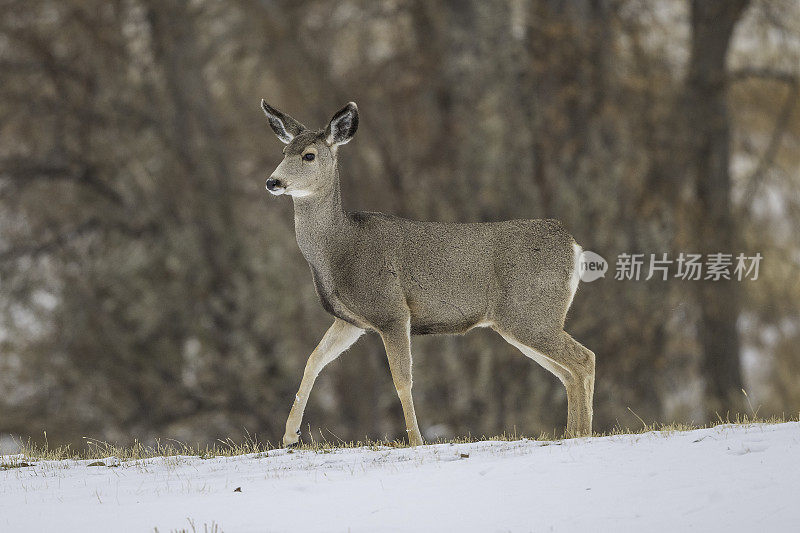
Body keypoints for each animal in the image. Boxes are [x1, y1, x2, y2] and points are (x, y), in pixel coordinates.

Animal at [262, 98, 592, 444]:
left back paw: (582, 433)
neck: (339, 248)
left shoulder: (391, 310)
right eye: (283, 151)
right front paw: (290, 435)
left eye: (309, 155)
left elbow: (402, 379)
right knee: (568, 371)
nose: (273, 182)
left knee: (583, 360)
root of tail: (574, 247)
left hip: (530, 312)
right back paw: (573, 432)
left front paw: (416, 440)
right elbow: (313, 360)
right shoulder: (351, 320)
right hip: (523, 321)